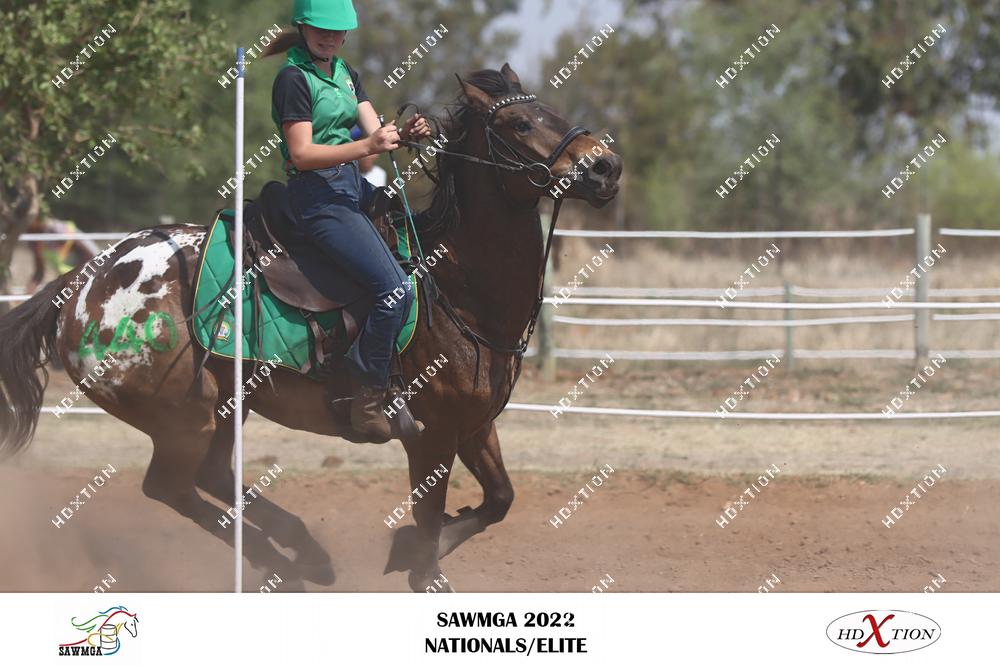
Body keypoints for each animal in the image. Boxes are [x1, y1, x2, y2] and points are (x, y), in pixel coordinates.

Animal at [0, 64, 622, 592]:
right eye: (520, 123)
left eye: (553, 110)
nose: (605, 166)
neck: (455, 289)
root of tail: (82, 285)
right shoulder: (431, 436)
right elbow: (429, 536)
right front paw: (416, 558)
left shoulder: (474, 425)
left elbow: (499, 499)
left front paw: (404, 548)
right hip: (185, 417)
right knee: (173, 485)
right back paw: (289, 560)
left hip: (226, 405)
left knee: (210, 477)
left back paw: (300, 553)